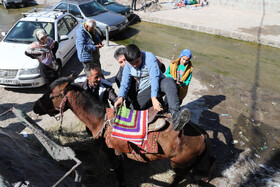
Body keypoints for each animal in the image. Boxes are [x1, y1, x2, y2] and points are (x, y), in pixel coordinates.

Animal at [34, 76, 215, 186]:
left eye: (52, 95)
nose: (35, 107)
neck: (101, 120)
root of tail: (202, 135)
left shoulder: (113, 155)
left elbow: (119, 174)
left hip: (179, 164)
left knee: (179, 178)